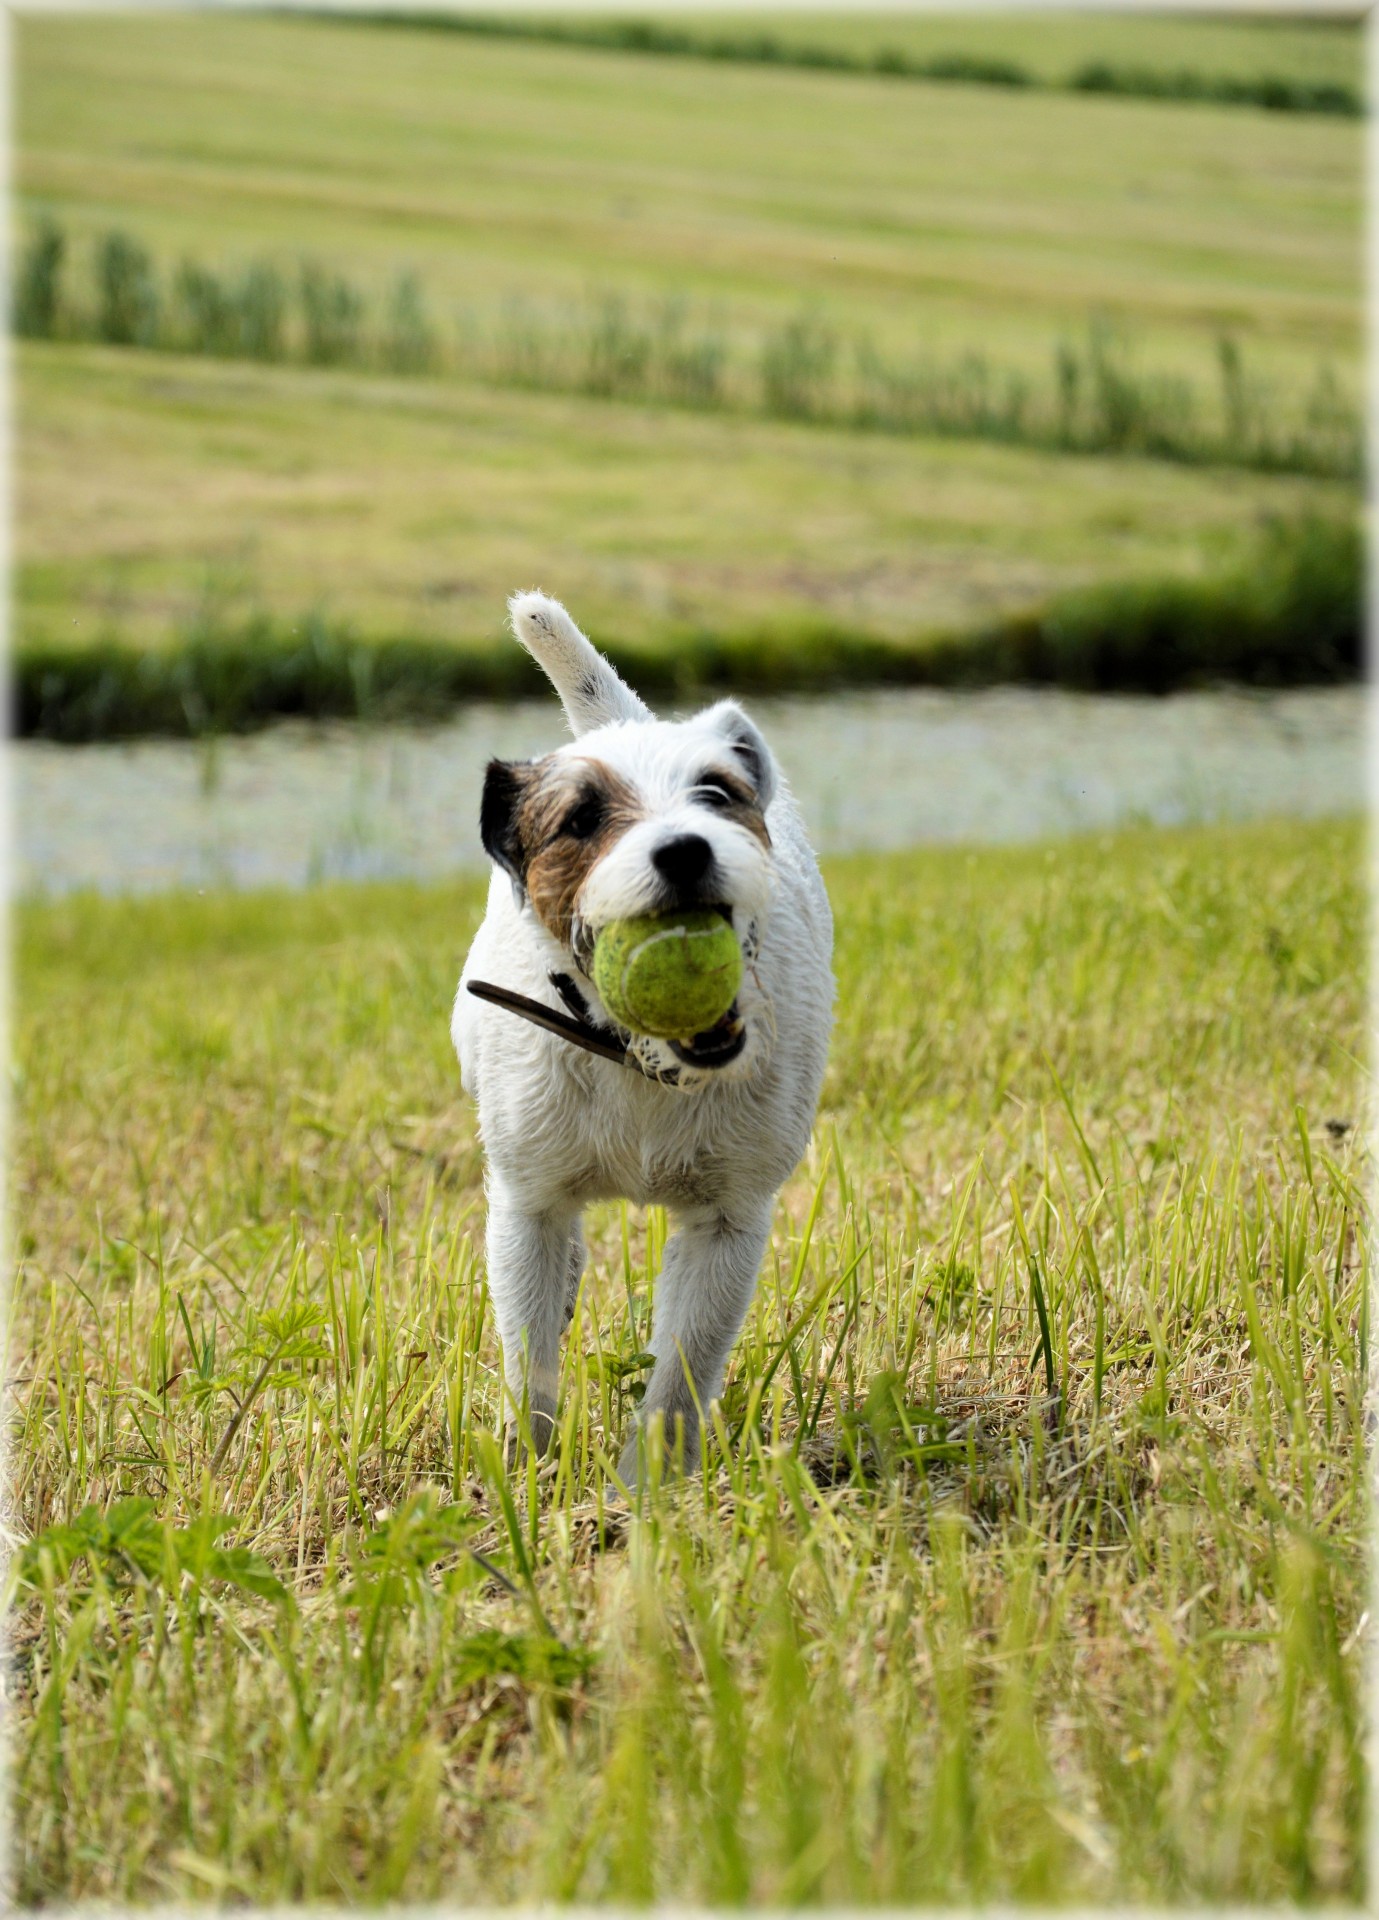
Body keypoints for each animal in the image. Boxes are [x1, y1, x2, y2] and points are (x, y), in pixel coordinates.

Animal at [459, 595, 837, 1482]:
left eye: (717, 793)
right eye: (580, 820)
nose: (685, 848)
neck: (633, 1055)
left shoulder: (728, 1223)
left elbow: (682, 1367)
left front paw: (649, 1487)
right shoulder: (527, 1205)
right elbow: (529, 1359)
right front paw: (531, 1479)